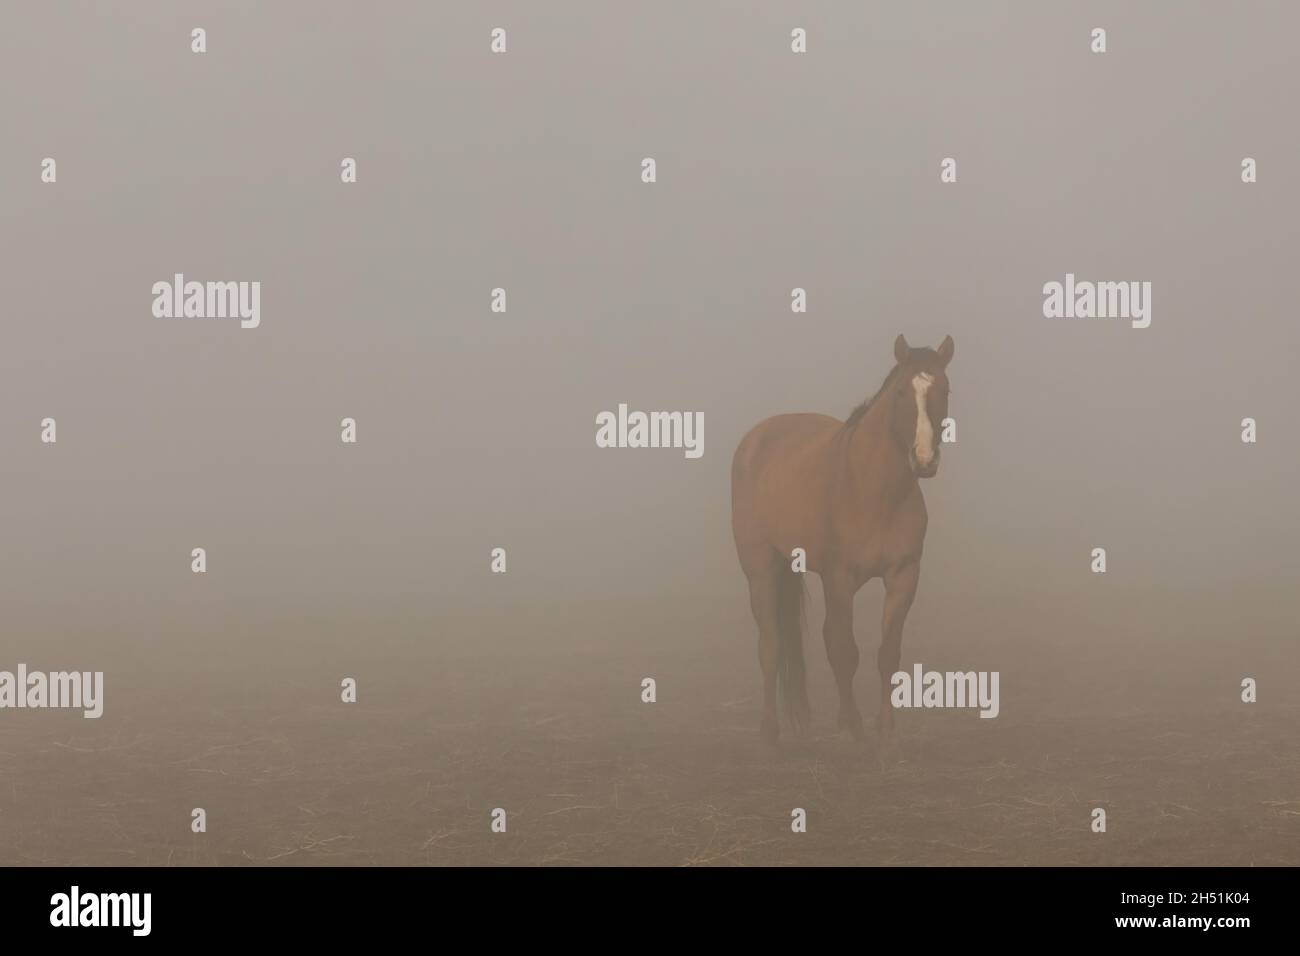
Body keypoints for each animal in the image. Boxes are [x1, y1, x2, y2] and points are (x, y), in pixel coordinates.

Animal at [730, 334, 954, 753]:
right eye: (901, 392)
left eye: (945, 390)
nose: (924, 459)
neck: (874, 490)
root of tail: (755, 439)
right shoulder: (839, 577)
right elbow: (844, 651)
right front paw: (853, 727)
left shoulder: (903, 575)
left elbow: (887, 653)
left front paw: (885, 730)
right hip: (761, 569)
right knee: (771, 644)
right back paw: (769, 731)